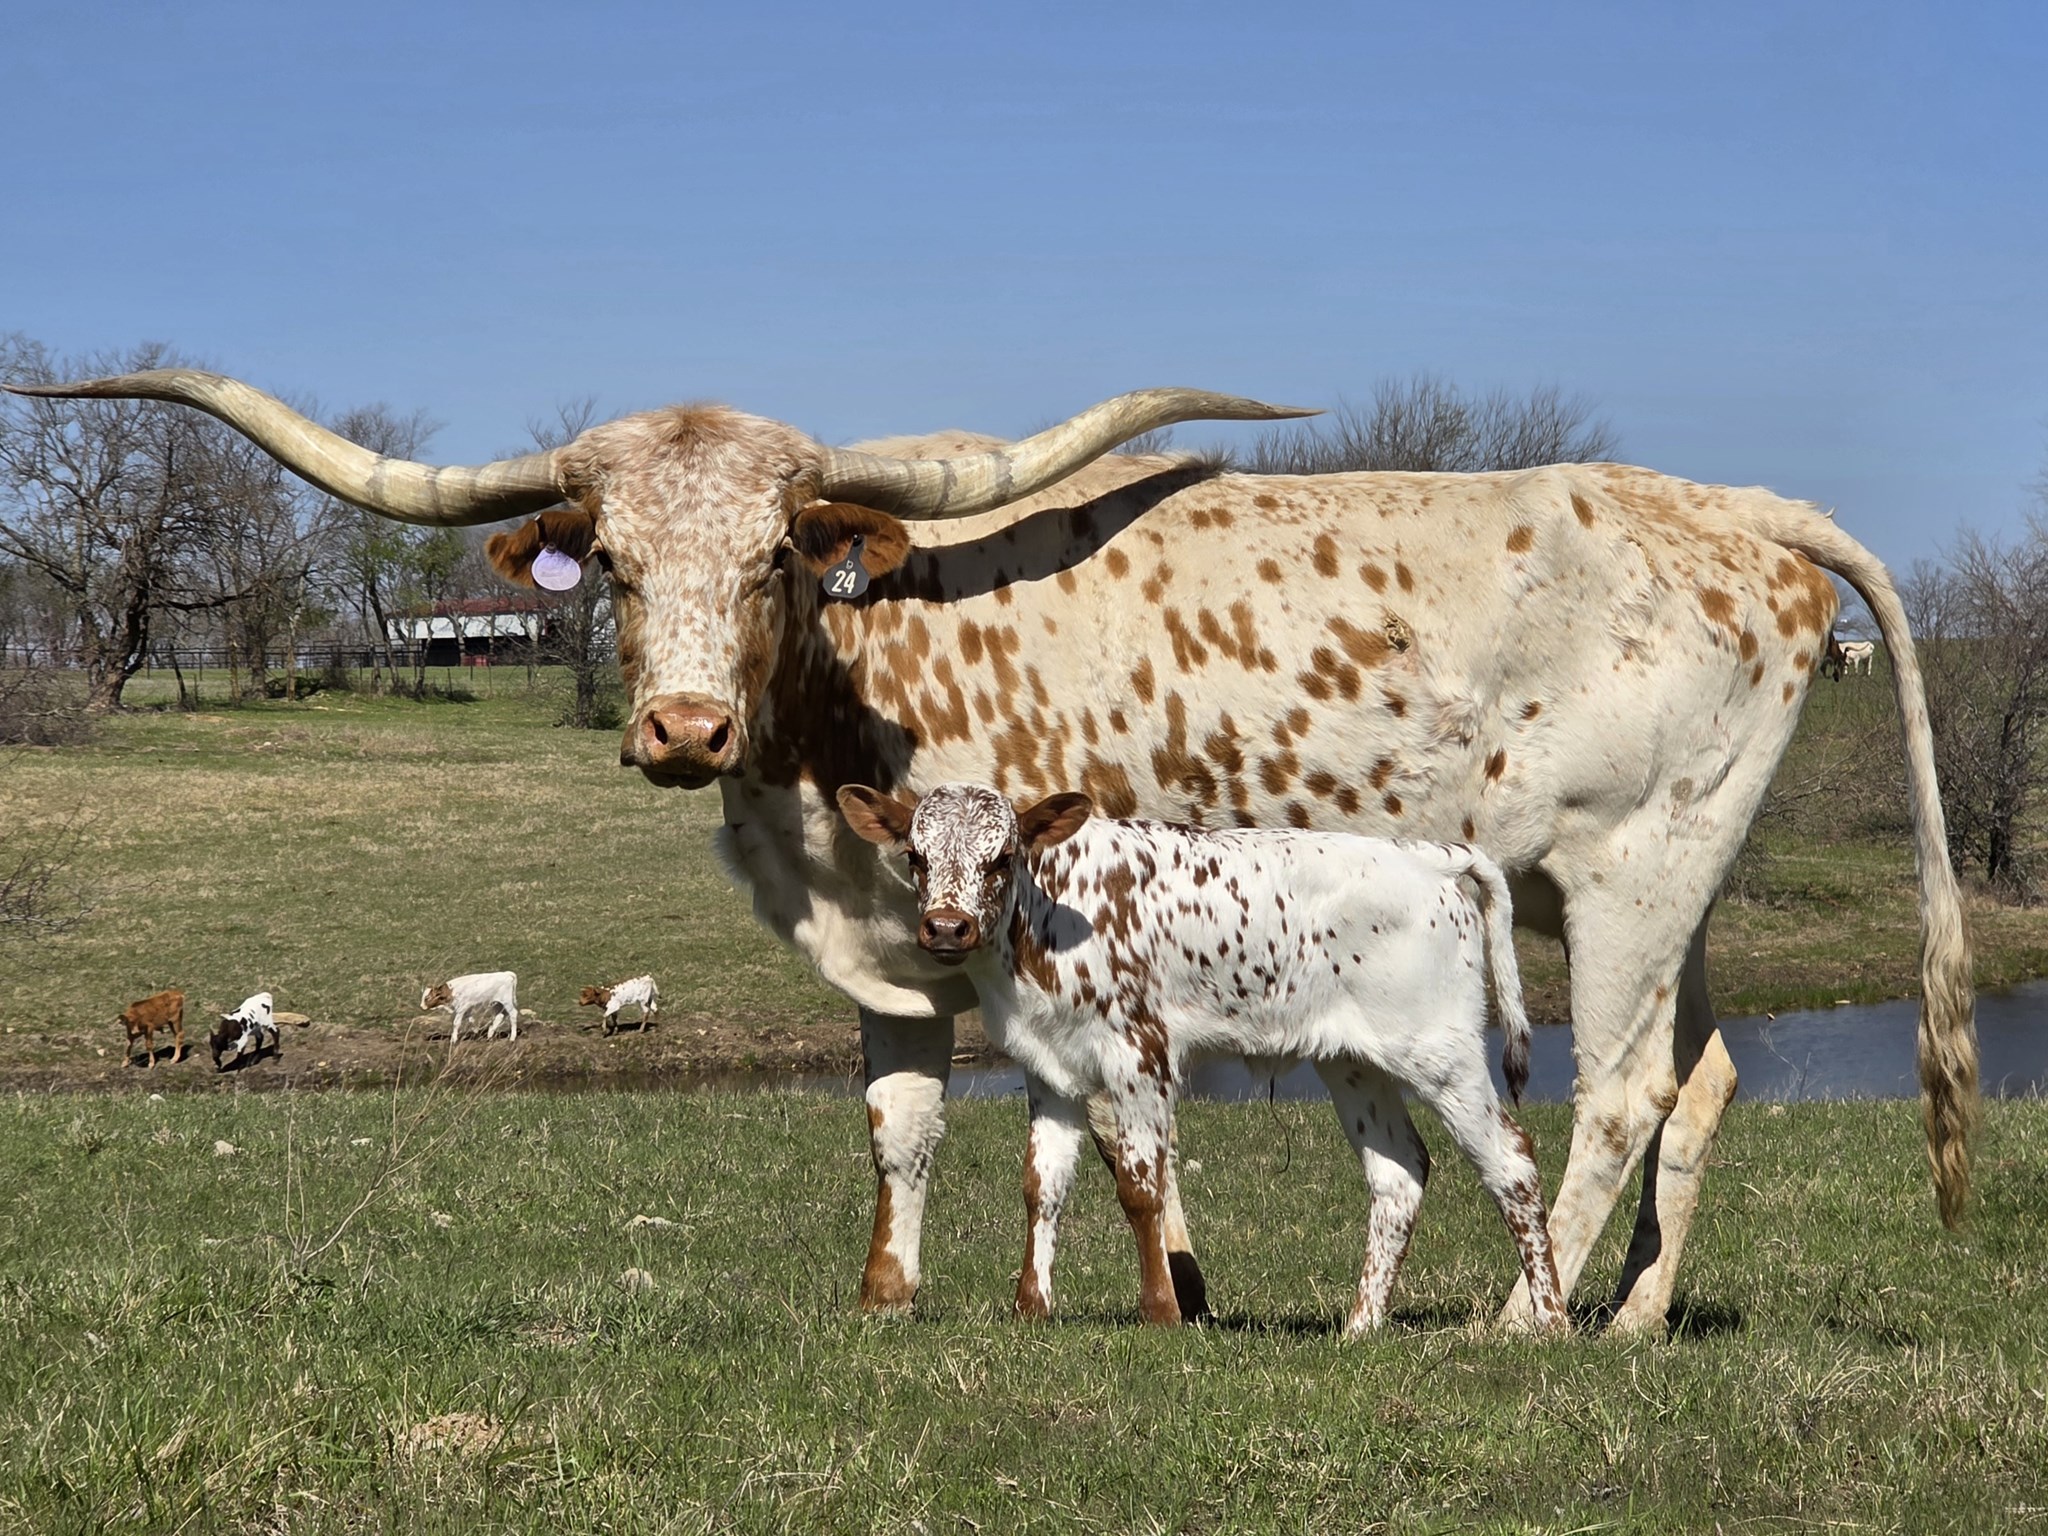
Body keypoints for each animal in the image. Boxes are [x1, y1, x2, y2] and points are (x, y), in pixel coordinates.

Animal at [840, 780, 1567, 1334]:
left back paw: (1548, 1323)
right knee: (1399, 1174)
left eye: (1001, 858)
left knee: (1512, 1163)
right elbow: (1042, 1184)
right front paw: (1031, 1308)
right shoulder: (1049, 1067)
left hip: (1443, 1053)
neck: (1045, 919)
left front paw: (1161, 1313)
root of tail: (1430, 855)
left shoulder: (1139, 1055)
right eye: (916, 856)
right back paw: (1360, 1328)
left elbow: (1141, 1186)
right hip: (1354, 1063)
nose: (946, 928)